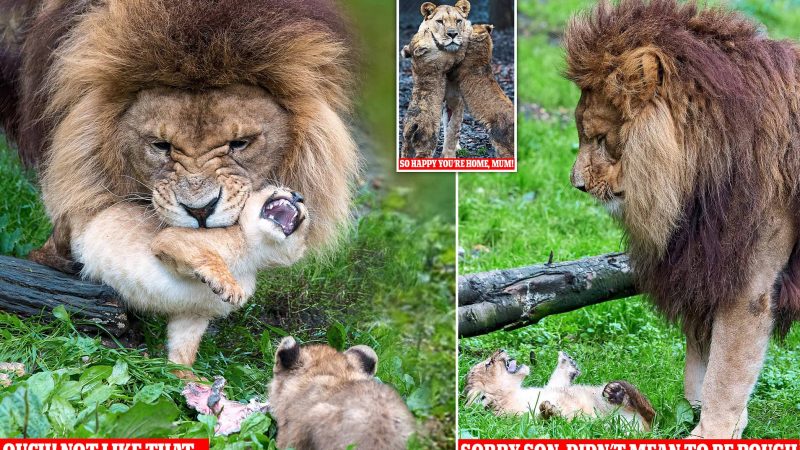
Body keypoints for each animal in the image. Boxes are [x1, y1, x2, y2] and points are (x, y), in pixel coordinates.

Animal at [564, 0, 800, 438]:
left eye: (601, 139)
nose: (578, 185)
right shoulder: (705, 264)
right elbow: (700, 363)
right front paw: (700, 415)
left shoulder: (747, 284)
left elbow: (725, 372)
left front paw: (711, 432)